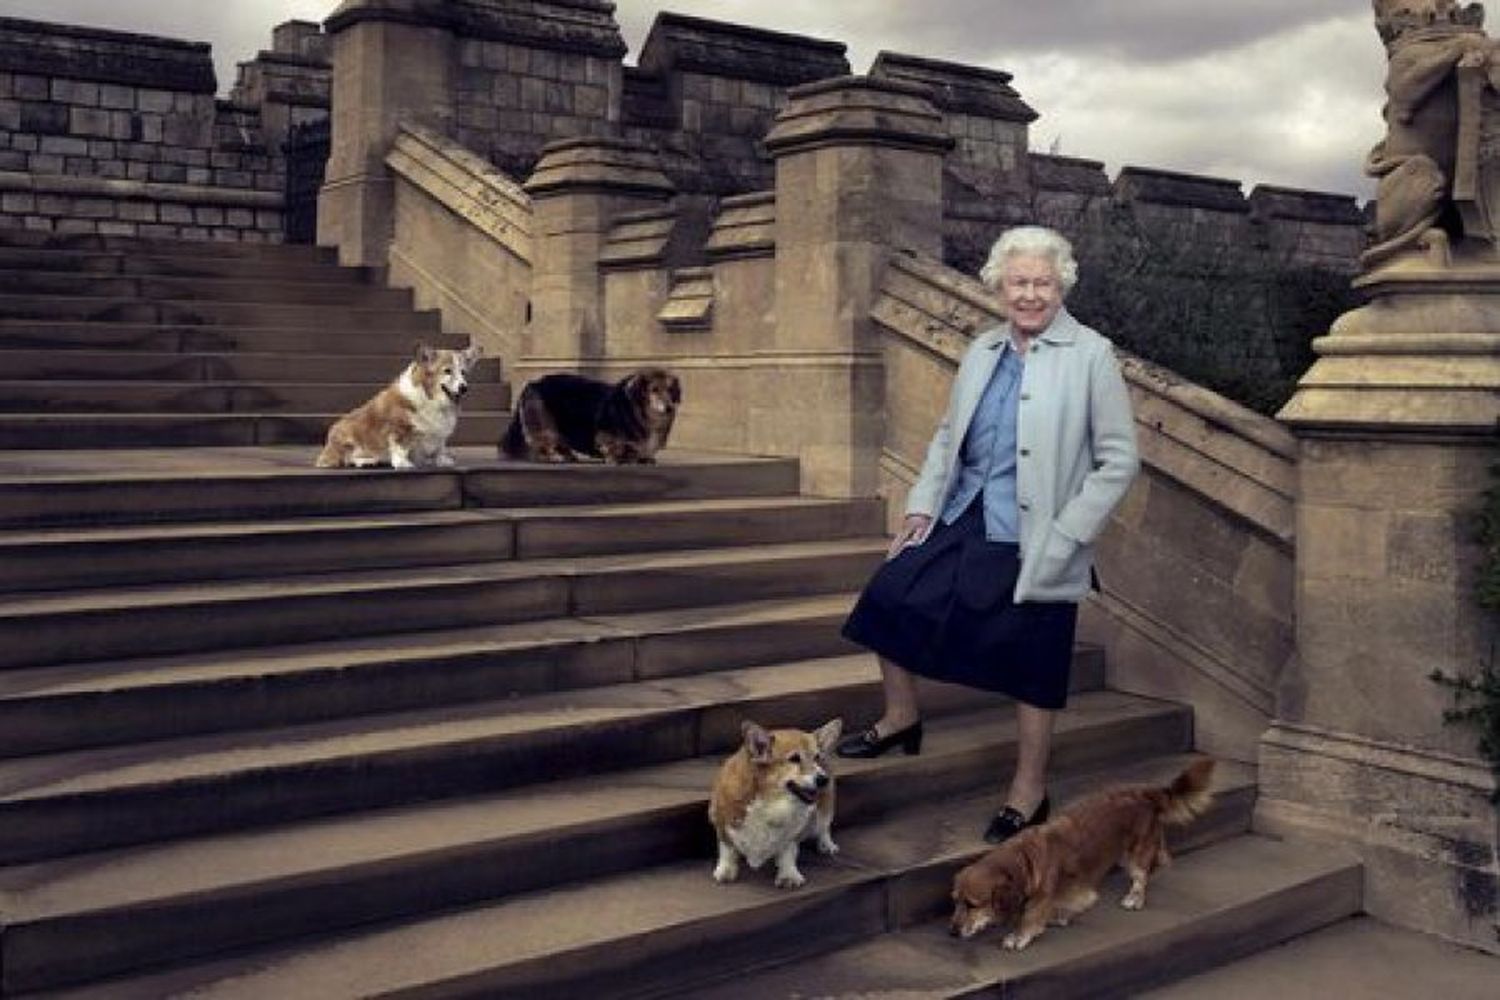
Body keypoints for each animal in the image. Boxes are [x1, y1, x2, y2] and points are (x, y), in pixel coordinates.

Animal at [316, 341, 480, 470]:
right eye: (447, 371)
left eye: (463, 373)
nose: (464, 388)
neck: (431, 398)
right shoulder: (398, 428)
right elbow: (399, 446)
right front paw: (402, 463)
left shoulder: (440, 433)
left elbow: (440, 447)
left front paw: (442, 460)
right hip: (347, 432)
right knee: (347, 458)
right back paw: (366, 461)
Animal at [705, 719, 840, 893]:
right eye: (794, 758)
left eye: (816, 757)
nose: (823, 779)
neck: (772, 802)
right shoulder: (722, 823)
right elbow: (727, 849)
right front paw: (726, 870)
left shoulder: (792, 835)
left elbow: (788, 852)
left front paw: (788, 875)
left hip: (825, 807)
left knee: (824, 827)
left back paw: (827, 845)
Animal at [954, 761, 1212, 953]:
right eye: (955, 901)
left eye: (972, 904)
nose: (952, 932)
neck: (1025, 858)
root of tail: (1145, 792)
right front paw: (1060, 916)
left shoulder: (1044, 895)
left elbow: (1032, 916)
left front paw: (1019, 936)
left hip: (1135, 854)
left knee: (1142, 876)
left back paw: (1135, 897)